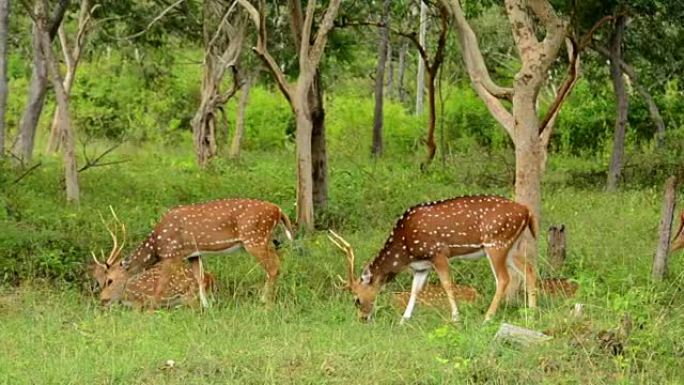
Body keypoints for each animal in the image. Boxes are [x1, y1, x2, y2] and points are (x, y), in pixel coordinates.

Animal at [89, 200, 292, 308]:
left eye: (110, 280)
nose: (102, 300)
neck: (156, 244)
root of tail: (278, 210)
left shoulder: (171, 254)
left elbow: (161, 286)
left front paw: (151, 311)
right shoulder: (193, 254)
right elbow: (200, 279)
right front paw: (206, 308)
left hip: (254, 238)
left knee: (273, 267)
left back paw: (264, 302)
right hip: (265, 240)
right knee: (278, 262)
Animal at [328, 194, 536, 322]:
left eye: (356, 299)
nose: (362, 319)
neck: (406, 250)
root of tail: (527, 211)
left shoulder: (438, 253)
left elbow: (447, 284)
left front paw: (456, 318)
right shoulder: (422, 266)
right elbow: (415, 290)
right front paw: (403, 320)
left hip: (496, 244)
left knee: (504, 279)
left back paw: (488, 317)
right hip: (511, 246)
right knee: (529, 270)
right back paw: (532, 313)